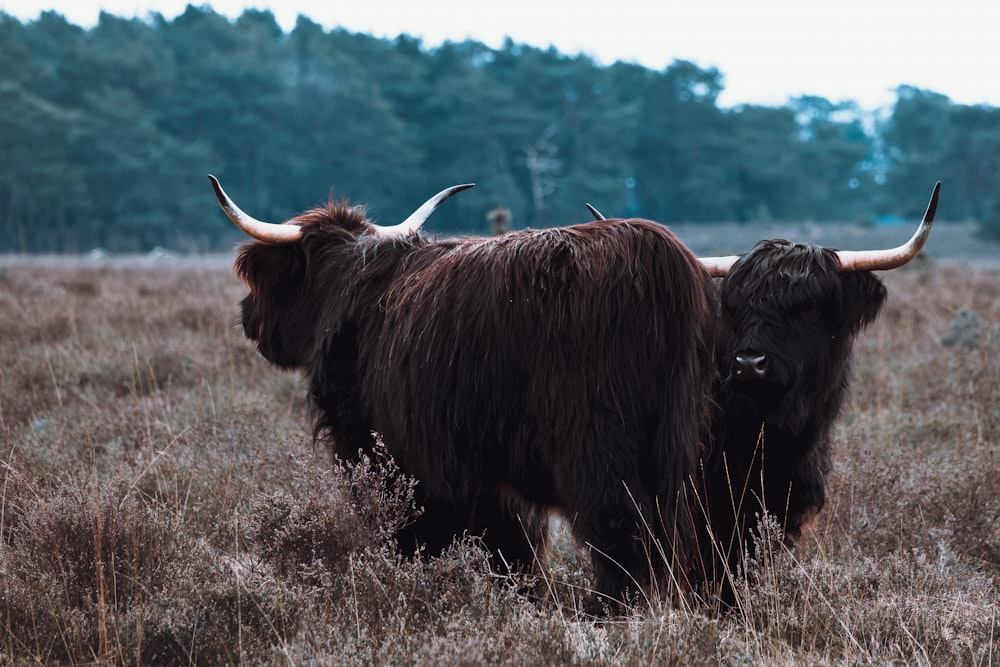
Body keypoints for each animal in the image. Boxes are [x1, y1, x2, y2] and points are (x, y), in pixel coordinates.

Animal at [211, 177, 724, 612]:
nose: (246, 315)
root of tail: (658, 257)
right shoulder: (491, 478)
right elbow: (512, 552)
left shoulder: (388, 456)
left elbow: (415, 536)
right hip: (677, 448)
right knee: (674, 536)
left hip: (596, 446)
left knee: (621, 534)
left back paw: (605, 614)